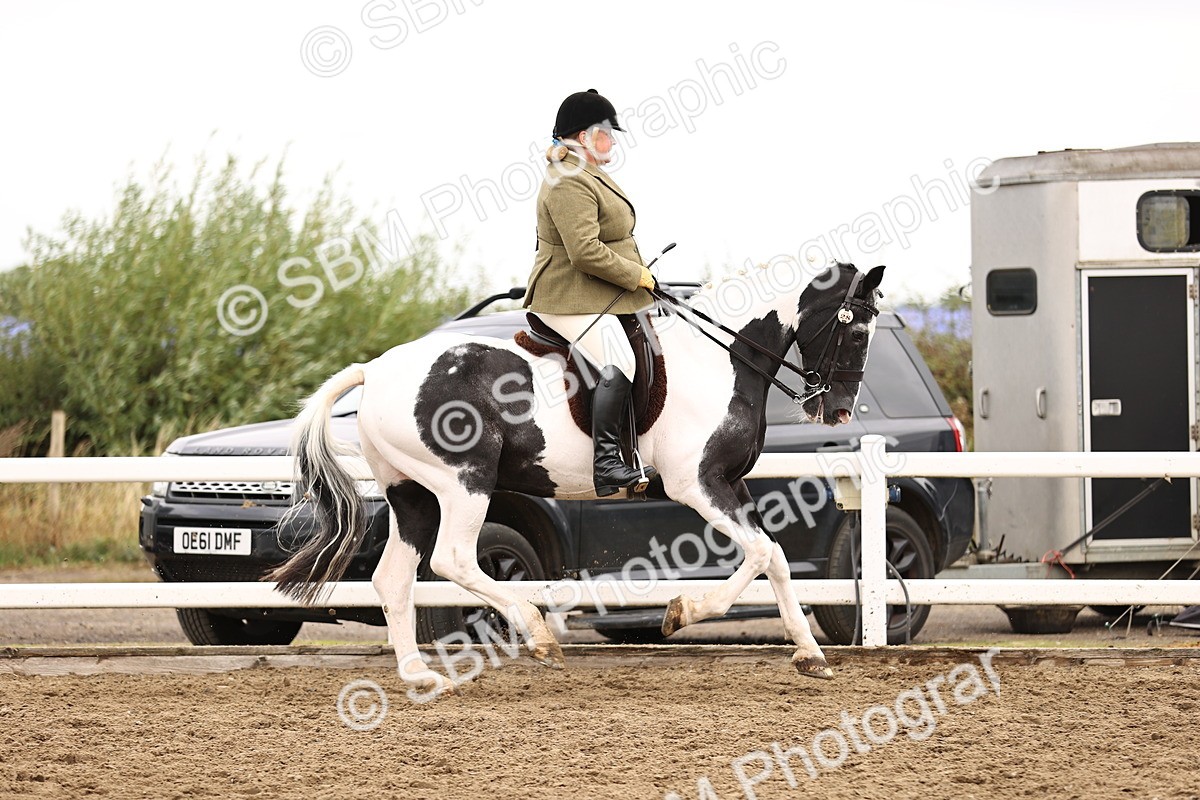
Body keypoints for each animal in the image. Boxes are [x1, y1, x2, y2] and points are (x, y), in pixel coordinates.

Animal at [267, 262, 885, 697]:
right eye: (857, 334)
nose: (837, 412)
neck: (721, 362)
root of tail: (374, 370)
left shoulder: (732, 485)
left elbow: (774, 557)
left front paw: (809, 655)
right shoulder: (697, 485)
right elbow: (761, 553)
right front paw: (682, 612)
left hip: (411, 493)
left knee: (393, 579)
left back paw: (420, 676)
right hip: (463, 483)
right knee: (454, 561)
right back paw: (537, 634)